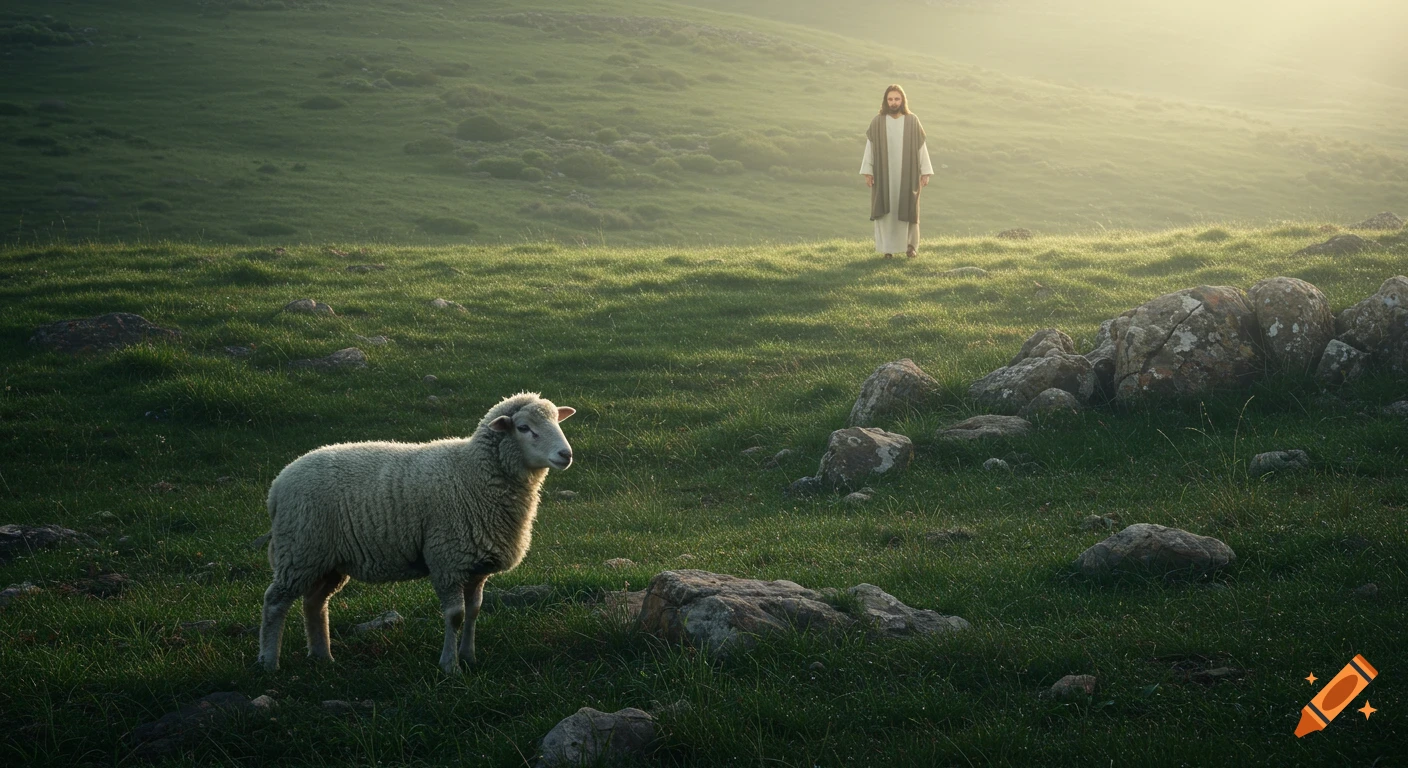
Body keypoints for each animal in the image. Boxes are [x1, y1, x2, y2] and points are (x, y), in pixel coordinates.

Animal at [256, 392, 576, 674]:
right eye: (524, 428)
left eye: (557, 421)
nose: (566, 454)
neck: (473, 473)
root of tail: (277, 486)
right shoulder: (448, 560)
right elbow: (456, 616)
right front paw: (450, 666)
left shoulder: (477, 566)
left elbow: (474, 611)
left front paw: (468, 657)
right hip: (300, 549)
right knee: (275, 601)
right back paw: (269, 662)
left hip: (327, 559)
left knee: (315, 602)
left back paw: (323, 657)